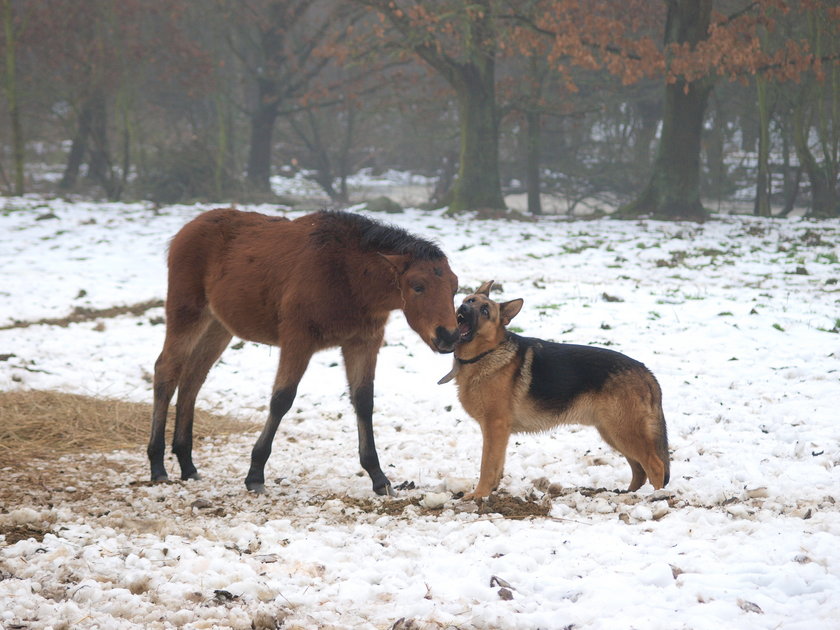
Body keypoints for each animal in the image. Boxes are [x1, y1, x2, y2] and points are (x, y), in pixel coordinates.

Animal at [440, 284, 668, 502]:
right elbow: (496, 466)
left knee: (655, 465)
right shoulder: (497, 432)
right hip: (613, 432)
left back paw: (656, 496)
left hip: (623, 430)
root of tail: (646, 372)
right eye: (470, 300)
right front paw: (489, 493)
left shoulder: (495, 427)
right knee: (639, 468)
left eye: (485, 311)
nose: (463, 309)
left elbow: (487, 465)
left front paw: (479, 495)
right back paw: (629, 493)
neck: (487, 353)